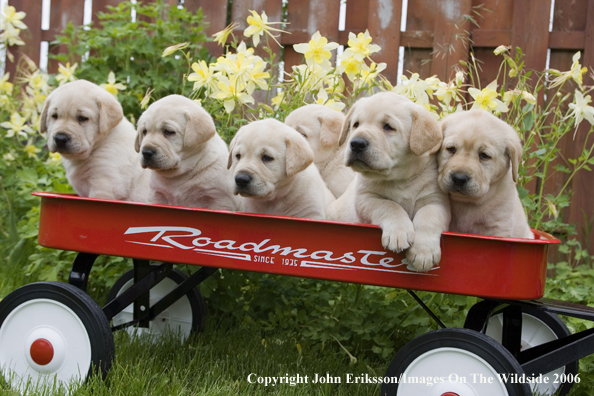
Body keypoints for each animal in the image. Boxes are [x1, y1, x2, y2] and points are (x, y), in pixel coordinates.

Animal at [324, 92, 448, 272]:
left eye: (388, 127)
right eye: (356, 124)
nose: (356, 143)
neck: (399, 179)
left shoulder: (436, 200)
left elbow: (428, 215)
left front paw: (423, 251)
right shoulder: (366, 199)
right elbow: (390, 206)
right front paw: (399, 232)